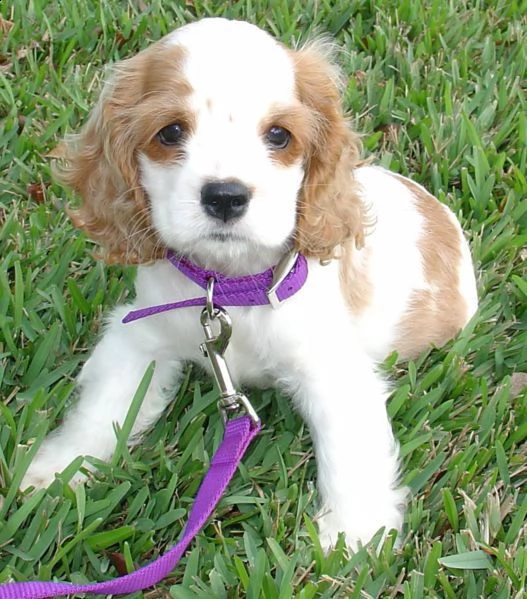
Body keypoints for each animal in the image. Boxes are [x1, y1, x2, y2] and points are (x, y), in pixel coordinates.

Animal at [22, 17, 478, 552]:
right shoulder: (141, 337)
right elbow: (102, 408)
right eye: (170, 132)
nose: (225, 196)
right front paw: (57, 470)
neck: (232, 286)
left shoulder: (333, 372)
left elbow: (351, 454)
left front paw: (352, 536)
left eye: (280, 135)